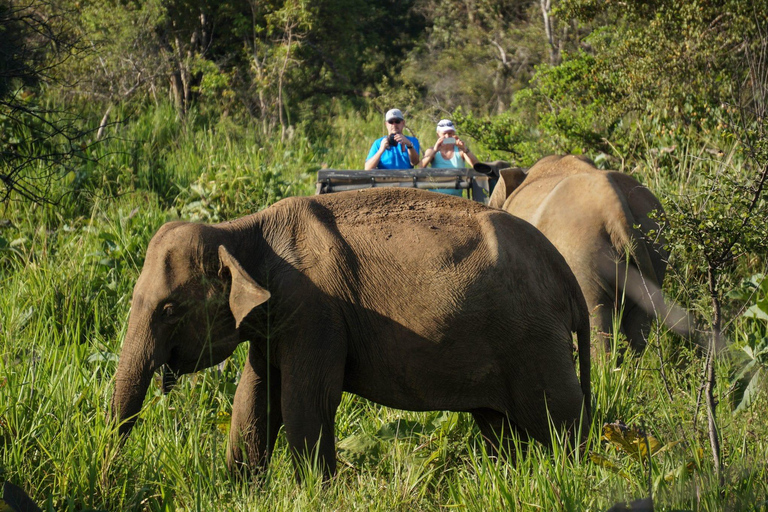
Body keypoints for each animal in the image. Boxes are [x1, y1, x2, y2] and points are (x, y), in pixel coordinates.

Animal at [109, 187, 588, 480]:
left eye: (169, 309)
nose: (110, 469)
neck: (243, 229)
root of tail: (565, 272)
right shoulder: (275, 320)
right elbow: (254, 399)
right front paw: (241, 489)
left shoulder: (315, 313)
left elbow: (304, 403)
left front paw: (313, 492)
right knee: (498, 426)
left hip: (534, 337)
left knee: (562, 416)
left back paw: (580, 474)